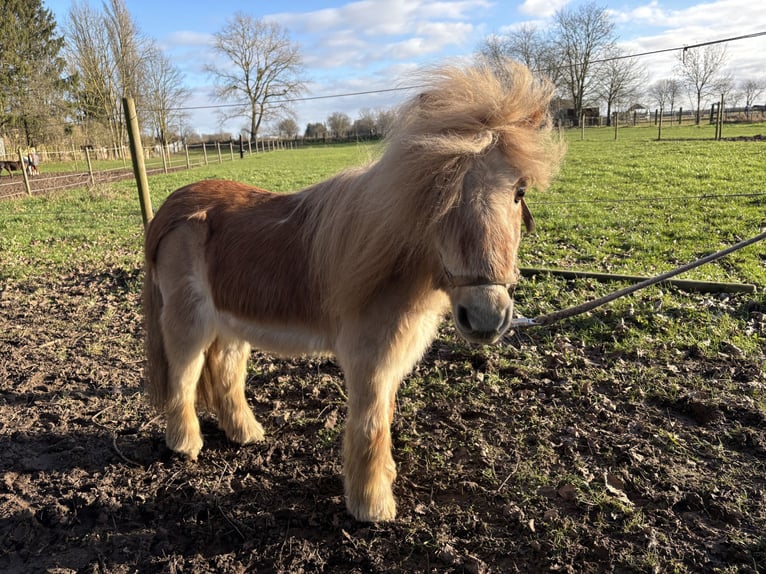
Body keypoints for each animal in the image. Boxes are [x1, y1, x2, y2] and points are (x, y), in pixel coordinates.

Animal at [142, 60, 564, 524]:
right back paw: (186, 444)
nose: (486, 316)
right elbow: (370, 424)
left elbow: (385, 415)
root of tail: (172, 206)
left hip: (231, 323)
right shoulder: (369, 362)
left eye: (519, 191)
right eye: (440, 193)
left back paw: (246, 433)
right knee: (184, 375)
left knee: (226, 371)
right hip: (188, 323)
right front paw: (372, 504)